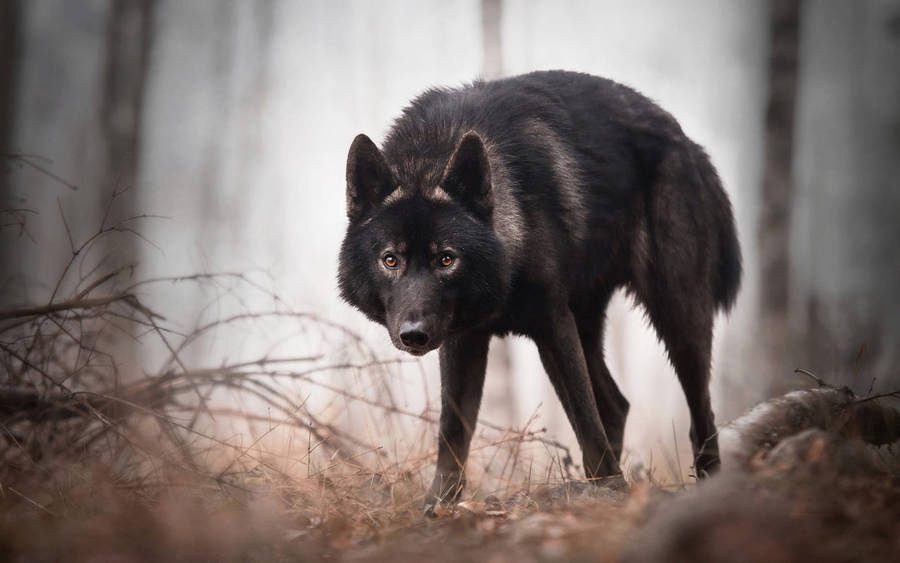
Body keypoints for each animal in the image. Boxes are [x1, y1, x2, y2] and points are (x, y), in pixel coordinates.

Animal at [338, 70, 741, 512]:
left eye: (446, 259)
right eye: (390, 260)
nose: (413, 335)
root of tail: (687, 141)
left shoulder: (552, 324)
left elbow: (585, 420)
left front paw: (610, 491)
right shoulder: (464, 339)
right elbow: (453, 429)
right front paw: (439, 505)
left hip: (676, 316)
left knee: (699, 415)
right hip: (588, 326)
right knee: (617, 405)